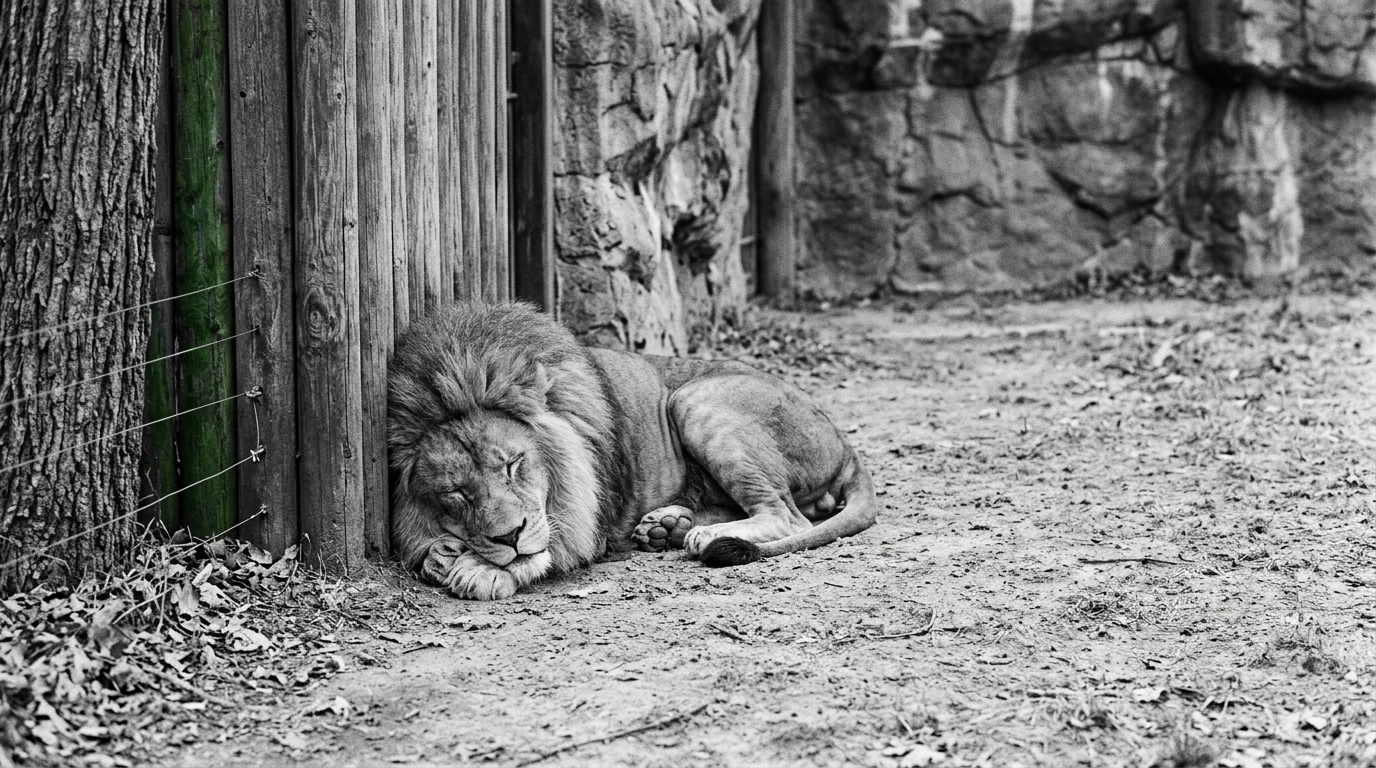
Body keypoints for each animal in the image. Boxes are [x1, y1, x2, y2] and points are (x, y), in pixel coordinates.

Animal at [388, 302, 877, 600]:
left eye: (513, 465)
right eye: (457, 494)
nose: (508, 536)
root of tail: (845, 445)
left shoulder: (583, 515)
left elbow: (547, 547)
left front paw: (478, 568)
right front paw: (442, 554)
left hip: (695, 400)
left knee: (788, 516)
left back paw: (702, 536)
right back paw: (667, 527)